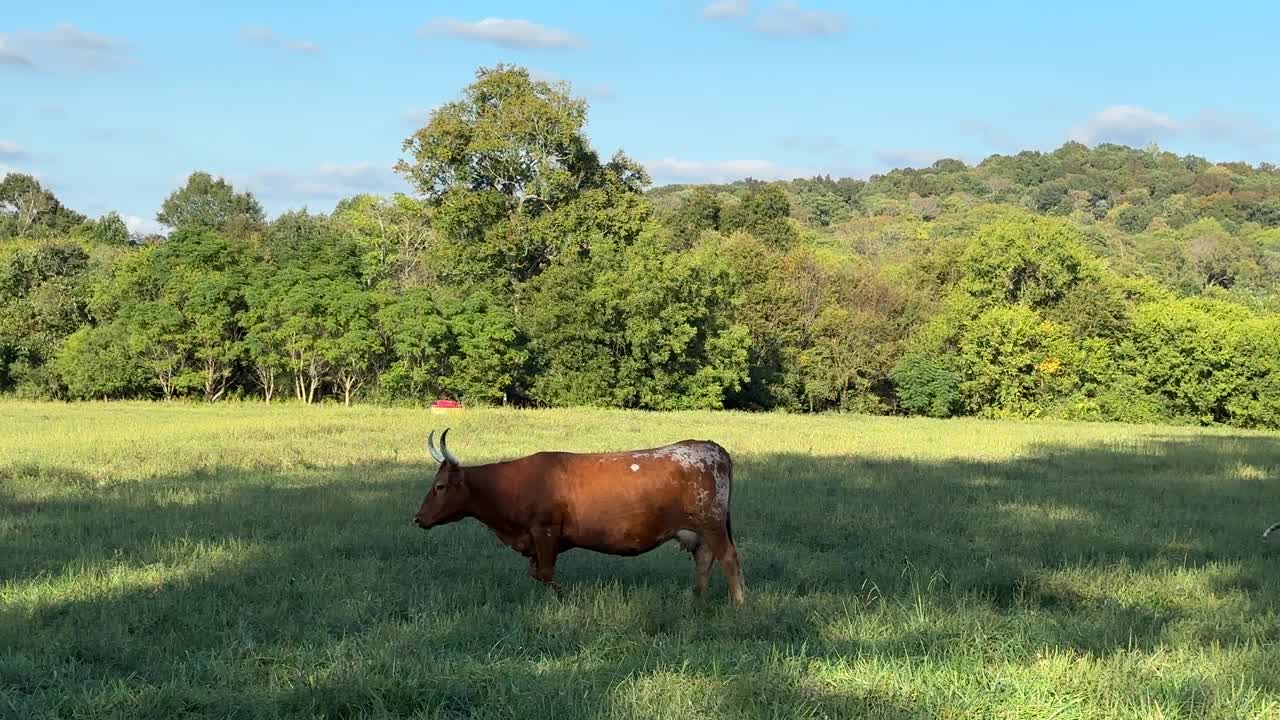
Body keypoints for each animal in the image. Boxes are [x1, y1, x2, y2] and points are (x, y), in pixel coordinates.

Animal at [409, 427, 747, 602]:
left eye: (440, 486)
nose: (418, 519)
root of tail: (709, 446)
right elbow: (536, 572)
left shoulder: (545, 531)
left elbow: (545, 573)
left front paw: (564, 598)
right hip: (698, 530)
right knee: (704, 558)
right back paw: (697, 597)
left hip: (712, 524)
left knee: (728, 558)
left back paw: (738, 602)